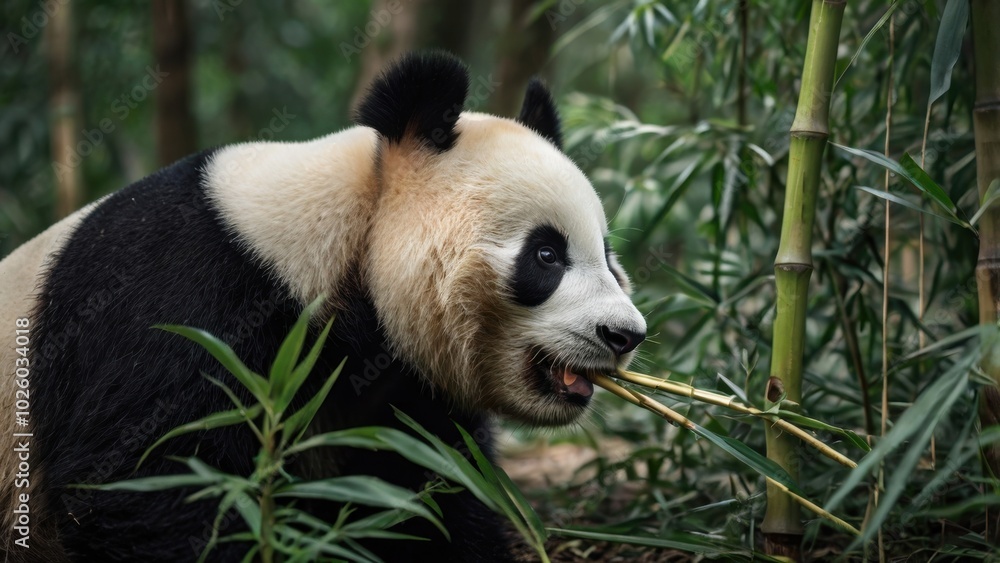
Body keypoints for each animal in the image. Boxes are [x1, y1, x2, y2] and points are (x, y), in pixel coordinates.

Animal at [0, 52, 645, 562]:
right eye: (546, 255)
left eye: (608, 255)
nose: (625, 335)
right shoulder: (179, 302)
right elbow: (146, 484)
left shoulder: (397, 388)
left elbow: (432, 489)